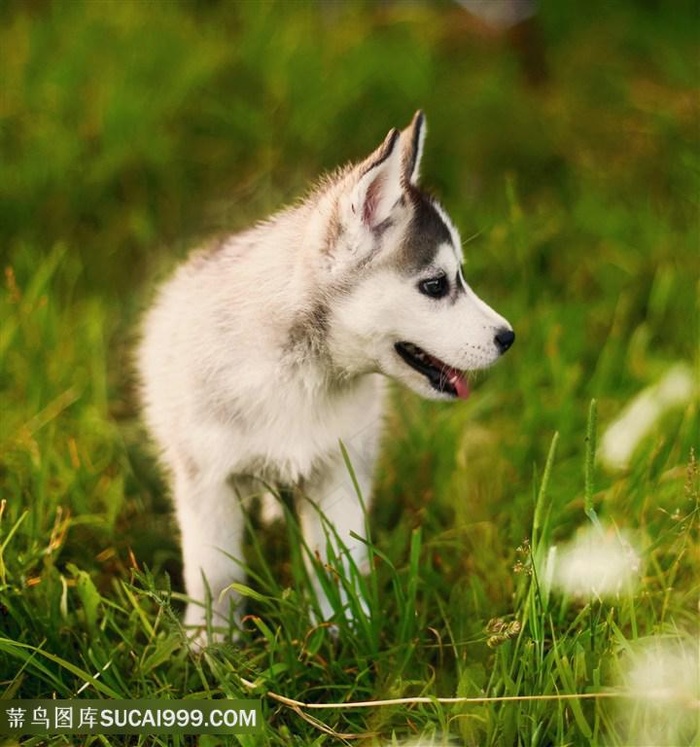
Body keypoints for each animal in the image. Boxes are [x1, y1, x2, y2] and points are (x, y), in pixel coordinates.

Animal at [139, 112, 516, 644]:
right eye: (436, 285)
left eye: (458, 276)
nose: (508, 337)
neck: (301, 373)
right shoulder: (208, 481)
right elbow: (217, 574)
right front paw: (211, 643)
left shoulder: (341, 470)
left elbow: (337, 561)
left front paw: (348, 631)